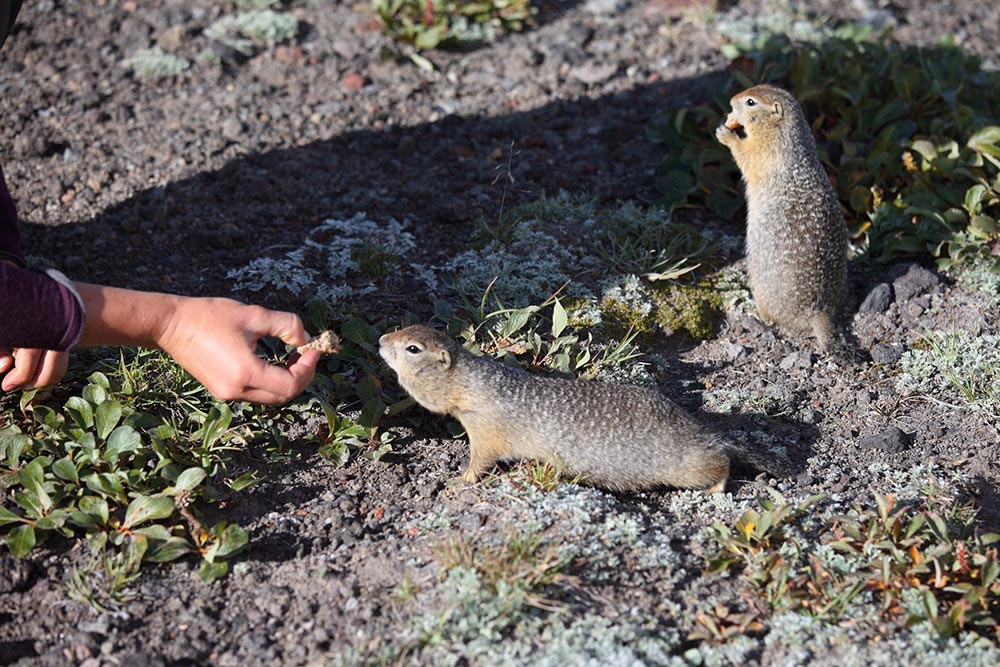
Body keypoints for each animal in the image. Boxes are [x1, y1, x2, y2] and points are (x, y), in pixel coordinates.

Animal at [382, 326, 756, 494]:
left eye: (413, 349)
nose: (382, 340)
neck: (470, 382)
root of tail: (700, 430)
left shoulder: (484, 430)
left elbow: (480, 461)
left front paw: (458, 481)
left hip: (686, 466)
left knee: (719, 462)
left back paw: (716, 488)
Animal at [716, 86, 848, 352]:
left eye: (750, 102)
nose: (731, 101)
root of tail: (818, 311)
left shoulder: (765, 149)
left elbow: (746, 156)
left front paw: (726, 134)